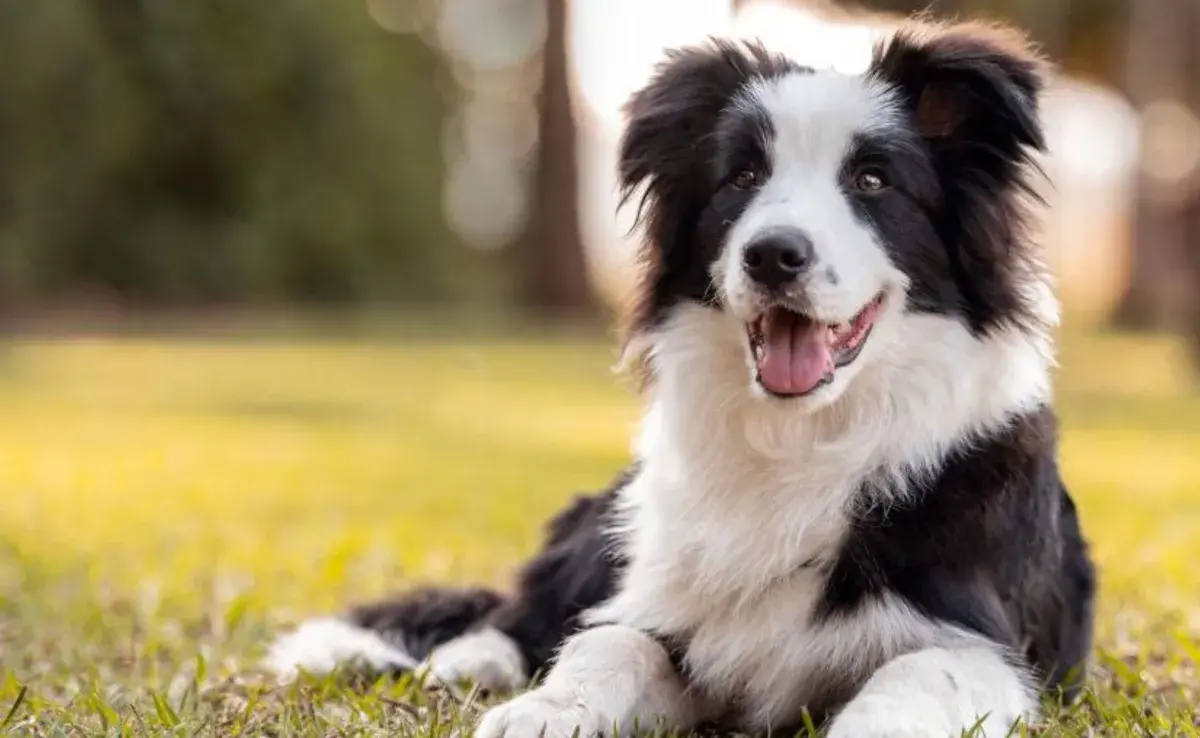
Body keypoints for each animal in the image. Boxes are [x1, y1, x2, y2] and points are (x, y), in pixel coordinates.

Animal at [265, 20, 1099, 734]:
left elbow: (916, 675)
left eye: (872, 180)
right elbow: (611, 641)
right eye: (742, 176)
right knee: (518, 612)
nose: (772, 255)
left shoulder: (986, 643)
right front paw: (548, 709)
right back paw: (471, 659)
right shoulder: (665, 612)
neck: (800, 438)